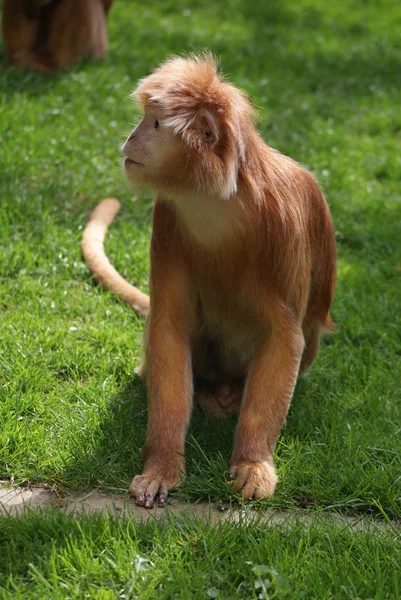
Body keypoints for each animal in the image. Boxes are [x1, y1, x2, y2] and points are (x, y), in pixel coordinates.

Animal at [81, 54, 334, 508]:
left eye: (154, 123)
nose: (130, 137)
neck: (219, 200)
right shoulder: (167, 216)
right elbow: (168, 328)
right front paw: (162, 465)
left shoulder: (284, 224)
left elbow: (284, 337)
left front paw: (252, 462)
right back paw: (207, 393)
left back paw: (231, 393)